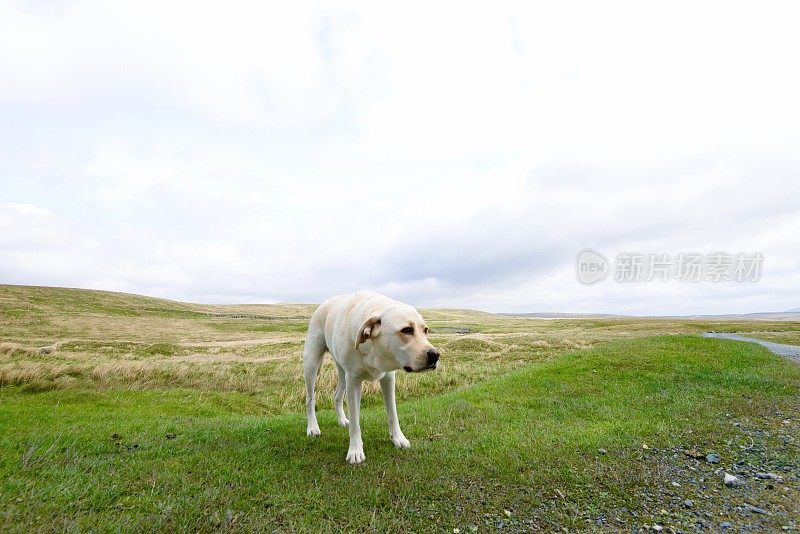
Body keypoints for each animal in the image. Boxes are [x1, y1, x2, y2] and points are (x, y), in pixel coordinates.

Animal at [304, 294, 440, 464]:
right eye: (407, 330)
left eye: (425, 330)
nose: (435, 355)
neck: (373, 350)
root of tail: (325, 303)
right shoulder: (353, 380)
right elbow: (355, 420)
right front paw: (355, 450)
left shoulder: (388, 378)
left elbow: (392, 412)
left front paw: (398, 438)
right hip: (312, 365)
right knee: (310, 399)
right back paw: (312, 427)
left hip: (342, 372)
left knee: (337, 396)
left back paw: (342, 420)